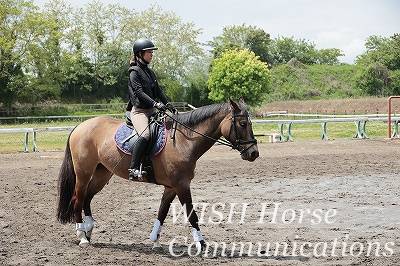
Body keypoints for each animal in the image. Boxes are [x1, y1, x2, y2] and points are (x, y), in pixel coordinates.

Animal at [56, 97, 258, 249]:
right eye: (242, 123)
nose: (254, 153)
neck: (184, 140)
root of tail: (80, 126)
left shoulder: (171, 187)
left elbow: (162, 211)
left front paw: (155, 239)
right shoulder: (181, 185)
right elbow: (191, 214)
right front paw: (201, 243)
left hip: (102, 173)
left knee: (87, 198)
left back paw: (89, 230)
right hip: (83, 173)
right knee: (78, 199)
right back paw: (82, 235)